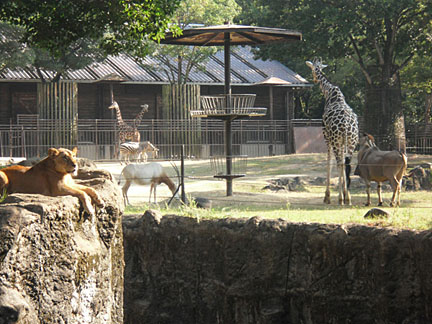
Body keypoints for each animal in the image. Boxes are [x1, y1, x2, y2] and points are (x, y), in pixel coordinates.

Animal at [306, 58, 360, 205]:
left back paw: (341, 198)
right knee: (346, 163)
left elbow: (328, 162)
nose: (314, 79)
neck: (330, 93)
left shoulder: (326, 137)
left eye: (313, 69)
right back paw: (347, 198)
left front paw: (327, 196)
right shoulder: (342, 142)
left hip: (336, 140)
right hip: (351, 142)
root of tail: (346, 124)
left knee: (339, 163)